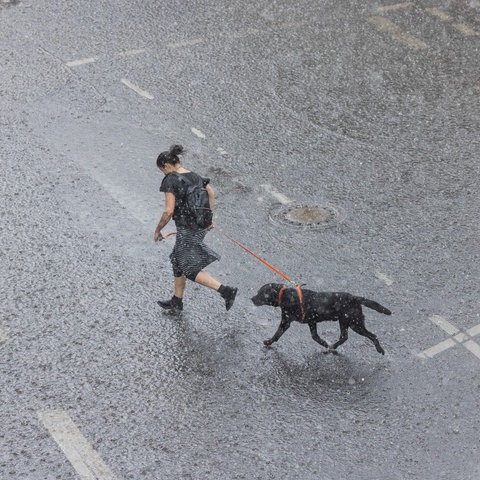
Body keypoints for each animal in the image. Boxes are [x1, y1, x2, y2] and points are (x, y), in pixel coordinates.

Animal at [249, 284, 392, 354]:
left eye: (260, 293)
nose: (251, 298)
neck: (284, 295)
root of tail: (355, 297)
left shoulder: (286, 321)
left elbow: (277, 334)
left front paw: (268, 342)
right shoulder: (312, 322)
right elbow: (315, 337)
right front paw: (324, 343)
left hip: (355, 323)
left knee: (372, 335)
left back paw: (380, 349)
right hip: (345, 322)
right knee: (344, 337)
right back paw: (332, 346)